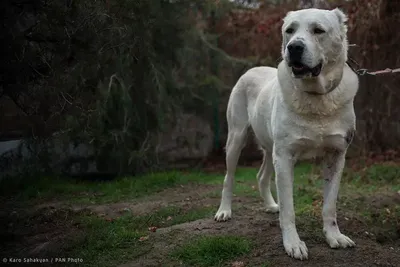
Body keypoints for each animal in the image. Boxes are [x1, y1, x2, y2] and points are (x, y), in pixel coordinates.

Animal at [214, 8, 358, 262]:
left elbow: (330, 205)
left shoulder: (336, 156)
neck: (317, 98)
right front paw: (293, 244)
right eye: (289, 30)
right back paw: (224, 211)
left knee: (261, 176)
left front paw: (334, 237)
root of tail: (252, 69)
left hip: (270, 149)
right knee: (228, 178)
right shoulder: (284, 157)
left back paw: (272, 205)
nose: (294, 48)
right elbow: (290, 209)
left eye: (318, 30)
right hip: (236, 140)